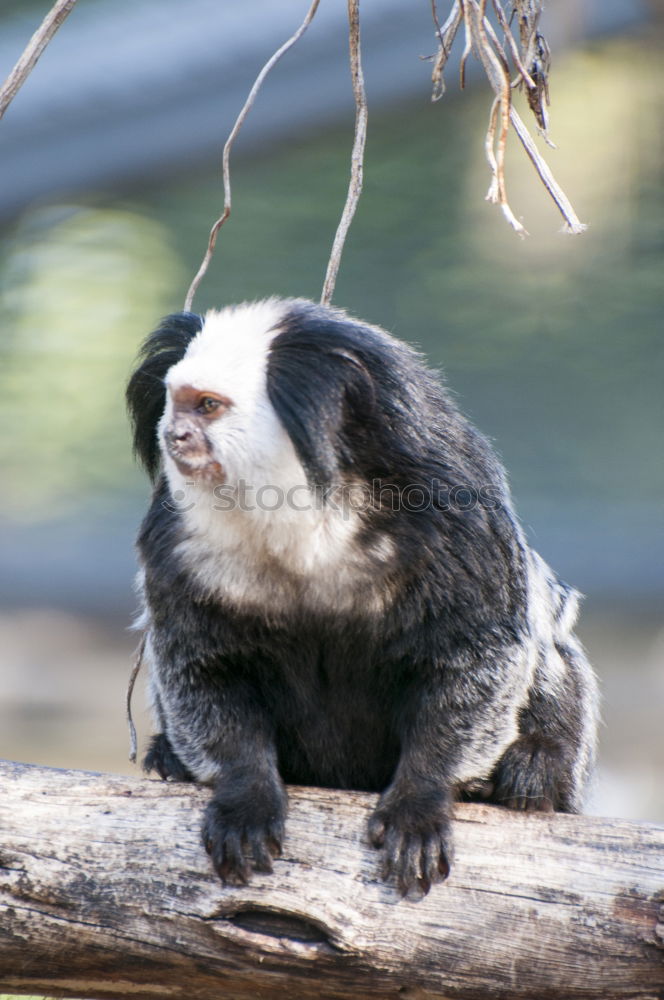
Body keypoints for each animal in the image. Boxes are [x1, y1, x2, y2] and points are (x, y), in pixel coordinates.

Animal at [127, 298, 600, 900]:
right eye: (173, 401)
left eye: (207, 405)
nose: (175, 433)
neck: (311, 515)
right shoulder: (173, 542)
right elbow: (201, 669)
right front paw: (244, 796)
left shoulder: (455, 510)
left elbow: (478, 657)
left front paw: (421, 801)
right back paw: (170, 757)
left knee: (549, 636)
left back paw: (537, 764)